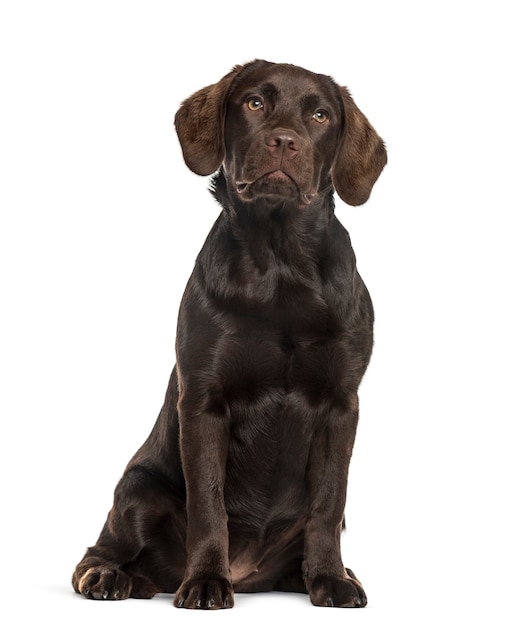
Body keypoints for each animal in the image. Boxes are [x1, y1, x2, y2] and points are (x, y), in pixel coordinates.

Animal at [71, 57, 386, 604]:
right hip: (139, 490)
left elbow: (327, 503)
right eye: (255, 103)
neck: (280, 265)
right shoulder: (204, 400)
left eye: (320, 115)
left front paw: (330, 580)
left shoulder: (341, 404)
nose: (284, 141)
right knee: (104, 548)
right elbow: (208, 504)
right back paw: (109, 576)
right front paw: (205, 581)